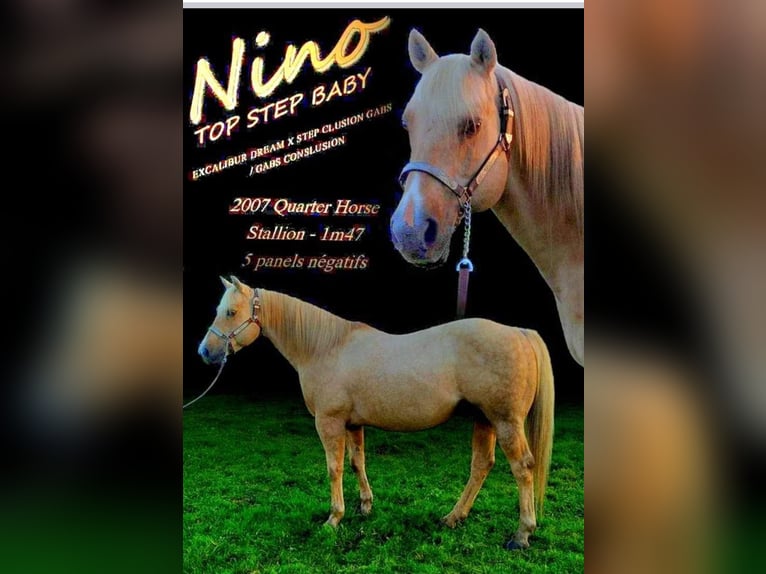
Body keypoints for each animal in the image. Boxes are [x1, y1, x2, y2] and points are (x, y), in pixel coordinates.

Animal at [197, 275, 555, 550]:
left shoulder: (329, 422)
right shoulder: (353, 424)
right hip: (485, 420)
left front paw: (334, 518)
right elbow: (358, 462)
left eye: (230, 311)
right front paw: (365, 507)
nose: (204, 352)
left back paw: (521, 534)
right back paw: (453, 517)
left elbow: (334, 468)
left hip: (506, 422)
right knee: (482, 465)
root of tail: (518, 332)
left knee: (522, 468)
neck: (326, 347)